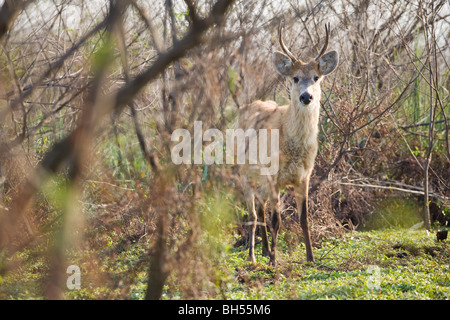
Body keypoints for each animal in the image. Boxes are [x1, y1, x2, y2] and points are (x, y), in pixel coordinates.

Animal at [237, 23, 340, 266]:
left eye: (316, 77)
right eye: (295, 77)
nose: (306, 97)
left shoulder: (305, 176)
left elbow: (304, 218)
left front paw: (311, 257)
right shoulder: (273, 176)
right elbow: (277, 221)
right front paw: (274, 262)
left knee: (261, 209)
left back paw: (265, 251)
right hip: (245, 171)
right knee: (253, 215)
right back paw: (253, 256)